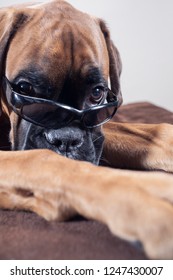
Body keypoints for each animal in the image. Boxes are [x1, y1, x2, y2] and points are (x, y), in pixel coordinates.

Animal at [0, 0, 173, 260]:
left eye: (97, 93)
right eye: (25, 89)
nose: (66, 139)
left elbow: (152, 133)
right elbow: (43, 160)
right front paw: (137, 194)